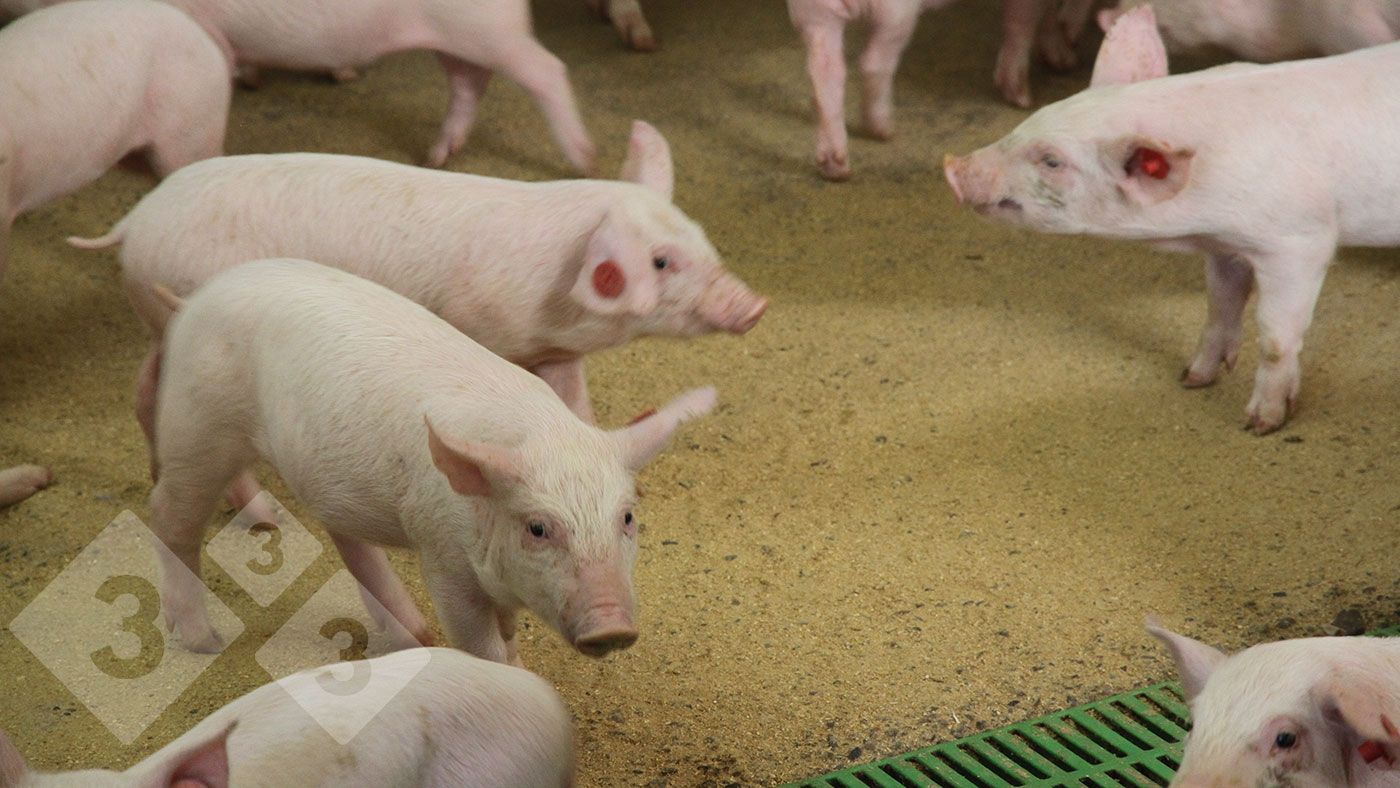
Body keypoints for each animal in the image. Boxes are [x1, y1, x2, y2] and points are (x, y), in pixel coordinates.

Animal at [69, 121, 764, 520]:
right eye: (662, 260)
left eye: (702, 238)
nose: (754, 307)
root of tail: (134, 222)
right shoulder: (483, 328)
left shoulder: (556, 351)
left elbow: (579, 407)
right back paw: (263, 514)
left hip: (160, 317)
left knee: (147, 389)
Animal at [149, 258, 715, 663]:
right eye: (537, 527)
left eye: (628, 518)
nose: (612, 626)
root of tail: (194, 299)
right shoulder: (441, 551)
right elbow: (483, 646)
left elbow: (508, 633)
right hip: (198, 423)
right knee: (170, 515)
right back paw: (204, 641)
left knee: (344, 535)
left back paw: (414, 637)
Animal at [161, 0, 595, 173]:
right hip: (456, 39)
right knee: (469, 83)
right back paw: (436, 158)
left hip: (491, 32)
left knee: (548, 69)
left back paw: (583, 160)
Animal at [943, 5, 1400, 434]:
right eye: (1028, 121)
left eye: (1052, 161)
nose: (953, 165)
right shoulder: (1224, 247)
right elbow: (1220, 305)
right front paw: (1192, 379)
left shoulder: (1300, 241)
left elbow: (1275, 336)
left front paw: (1260, 423)